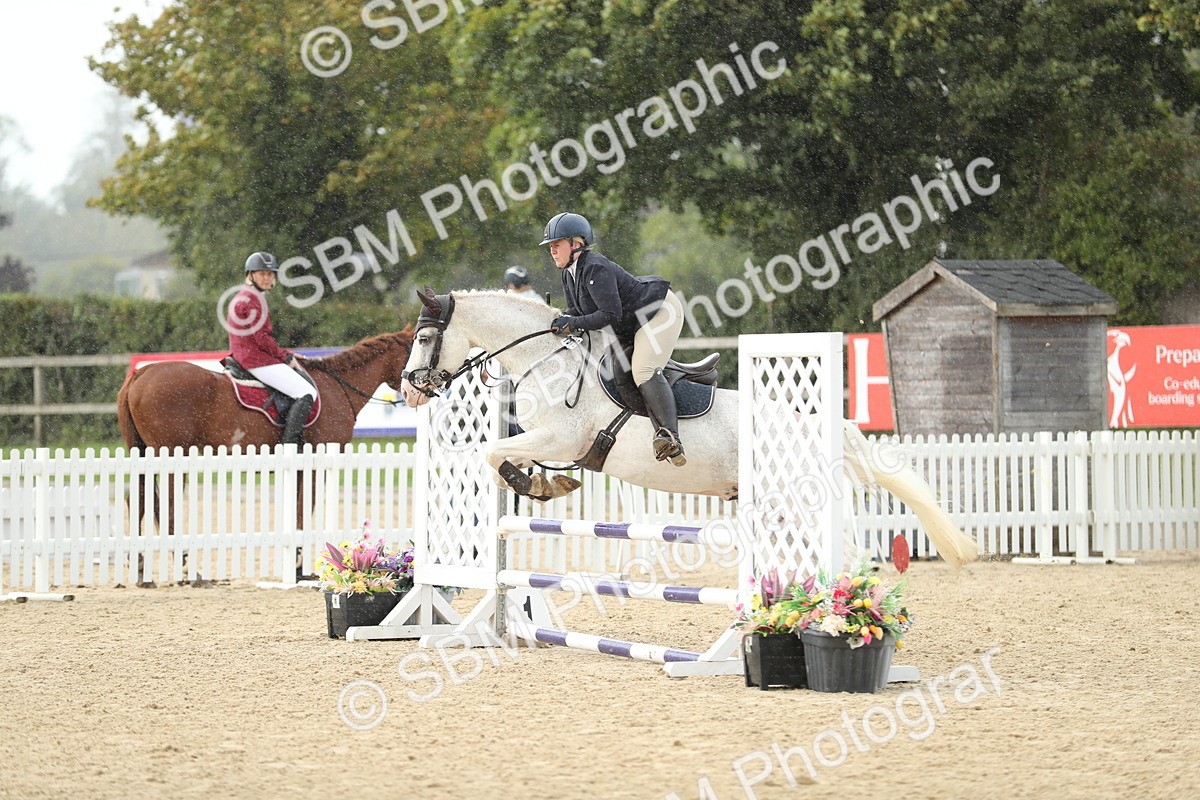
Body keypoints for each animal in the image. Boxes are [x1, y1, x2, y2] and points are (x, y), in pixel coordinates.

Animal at [116, 328, 414, 581]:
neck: (339, 386)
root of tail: (140, 375)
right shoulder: (314, 466)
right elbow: (303, 512)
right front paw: (299, 566)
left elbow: (297, 511)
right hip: (171, 459)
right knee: (165, 508)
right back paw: (187, 568)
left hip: (144, 456)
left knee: (138, 500)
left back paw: (139, 565)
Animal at [398, 289, 977, 569]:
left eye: (425, 339)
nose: (409, 390)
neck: (548, 359)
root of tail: (820, 426)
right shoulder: (541, 439)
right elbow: (500, 455)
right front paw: (545, 483)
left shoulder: (560, 438)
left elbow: (491, 453)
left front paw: (539, 483)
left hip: (793, 501)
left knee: (850, 555)